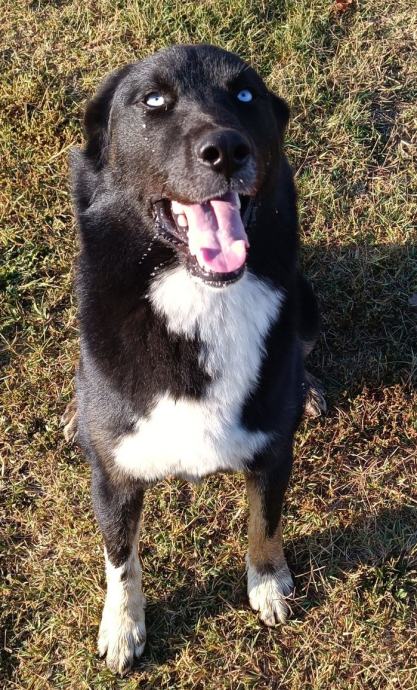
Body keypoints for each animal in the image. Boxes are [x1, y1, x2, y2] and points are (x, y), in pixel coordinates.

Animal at [62, 44, 325, 674]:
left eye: (246, 94)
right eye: (154, 100)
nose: (227, 151)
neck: (200, 294)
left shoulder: (273, 451)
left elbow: (265, 521)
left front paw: (268, 583)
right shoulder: (113, 476)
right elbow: (121, 555)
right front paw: (122, 627)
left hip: (305, 301)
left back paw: (310, 390)